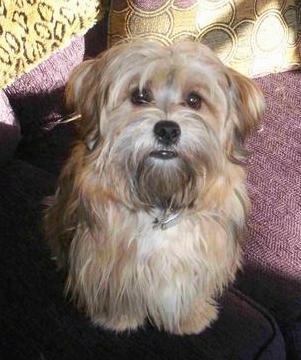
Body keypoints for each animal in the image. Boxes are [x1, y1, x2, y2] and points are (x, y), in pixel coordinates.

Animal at [43, 39, 264, 334]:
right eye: (139, 96)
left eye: (194, 100)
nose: (168, 130)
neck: (162, 198)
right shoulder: (106, 261)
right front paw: (117, 320)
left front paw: (191, 318)